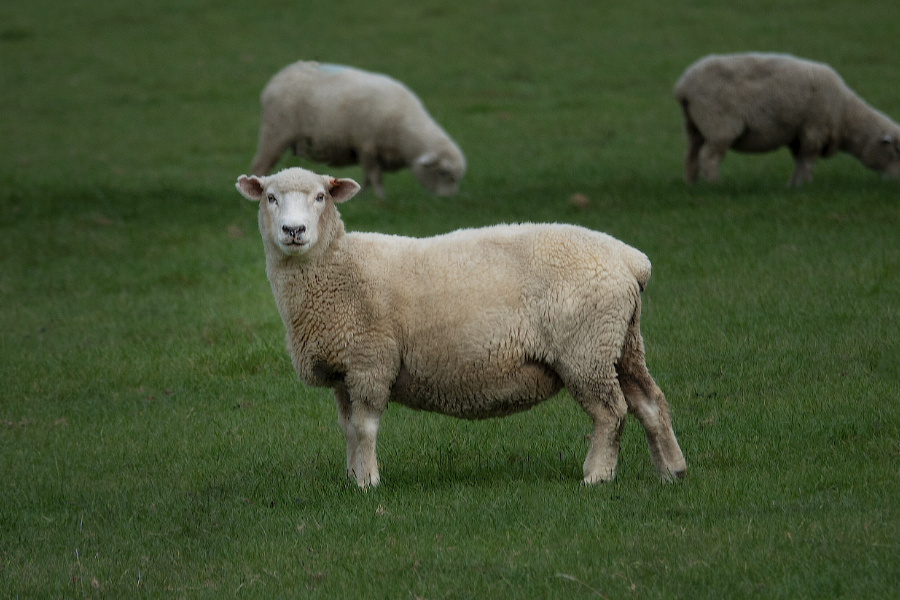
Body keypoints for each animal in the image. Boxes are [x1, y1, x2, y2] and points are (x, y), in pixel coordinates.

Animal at [236, 166, 684, 490]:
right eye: (271, 197)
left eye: (321, 196)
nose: (294, 231)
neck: (338, 268)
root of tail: (631, 261)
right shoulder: (344, 370)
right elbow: (347, 429)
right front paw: (351, 478)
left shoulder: (370, 361)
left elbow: (364, 428)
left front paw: (367, 482)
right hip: (621, 341)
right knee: (650, 402)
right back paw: (671, 471)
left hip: (586, 348)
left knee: (611, 412)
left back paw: (597, 475)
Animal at [250, 62, 468, 199]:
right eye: (442, 173)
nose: (447, 200)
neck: (405, 135)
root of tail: (277, 78)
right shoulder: (367, 146)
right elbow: (375, 177)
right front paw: (381, 199)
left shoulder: (371, 152)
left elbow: (367, 178)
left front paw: (362, 198)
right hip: (275, 132)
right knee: (259, 166)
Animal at [672, 53, 900, 185]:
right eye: (896, 152)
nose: (894, 181)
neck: (845, 114)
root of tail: (683, 86)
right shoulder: (814, 130)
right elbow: (808, 161)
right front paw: (804, 184)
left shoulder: (797, 135)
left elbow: (799, 160)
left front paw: (794, 185)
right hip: (719, 125)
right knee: (708, 157)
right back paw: (715, 184)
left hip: (694, 125)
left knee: (690, 155)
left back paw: (692, 184)